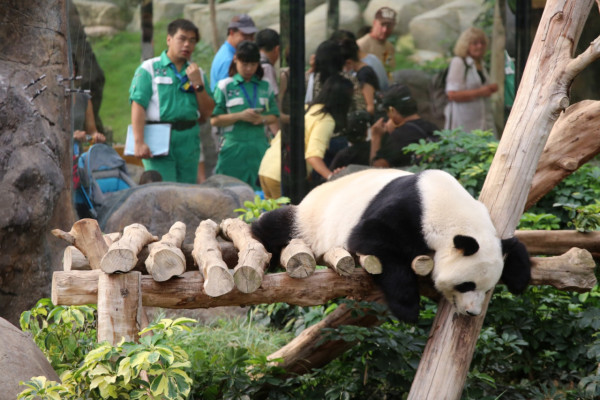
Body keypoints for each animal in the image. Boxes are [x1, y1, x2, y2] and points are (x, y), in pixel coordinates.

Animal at [251, 168, 532, 322]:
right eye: (466, 285)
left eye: (487, 289)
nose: (473, 313)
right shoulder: (411, 211)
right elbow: (371, 239)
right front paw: (408, 309)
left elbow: (513, 243)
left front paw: (520, 277)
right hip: (313, 218)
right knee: (281, 224)